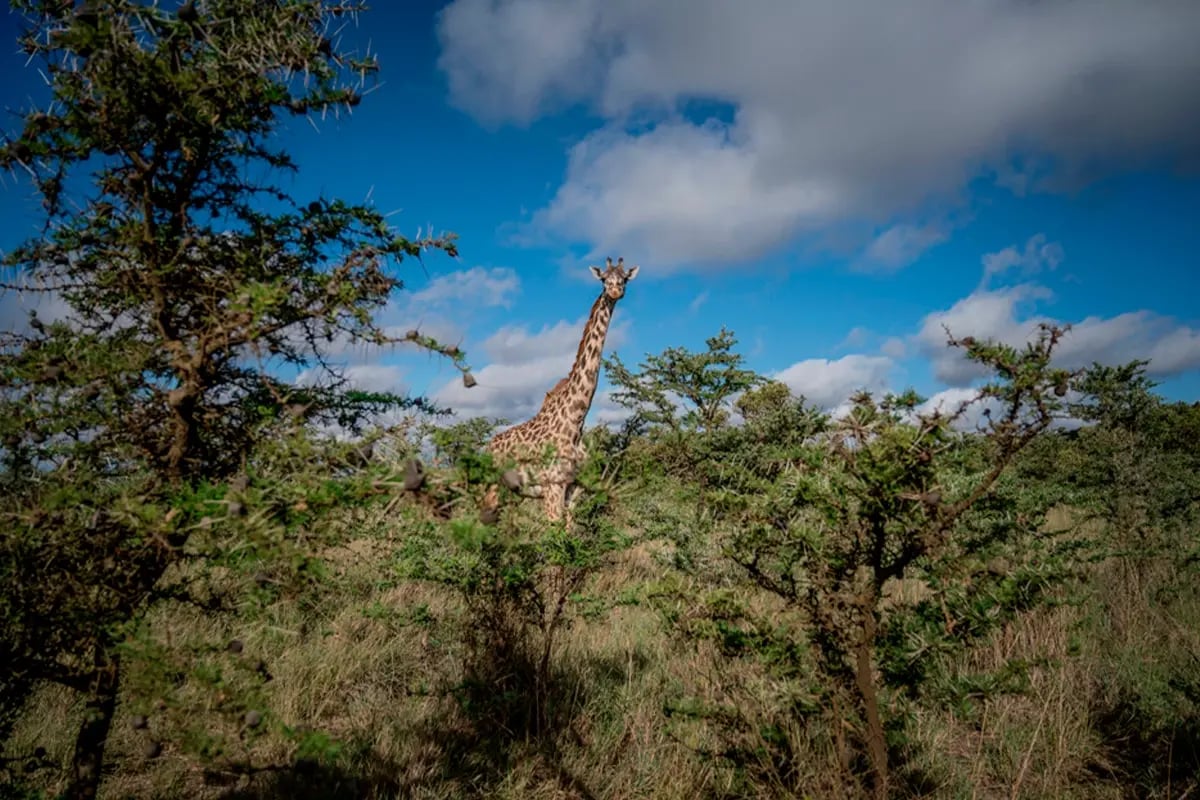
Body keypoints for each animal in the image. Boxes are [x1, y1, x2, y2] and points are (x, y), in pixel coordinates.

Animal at [484, 256, 643, 527]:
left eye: (624, 278)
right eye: (604, 279)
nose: (615, 291)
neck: (576, 419)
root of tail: (486, 447)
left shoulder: (573, 487)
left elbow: (569, 532)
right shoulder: (552, 485)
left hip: (512, 492)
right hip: (491, 486)